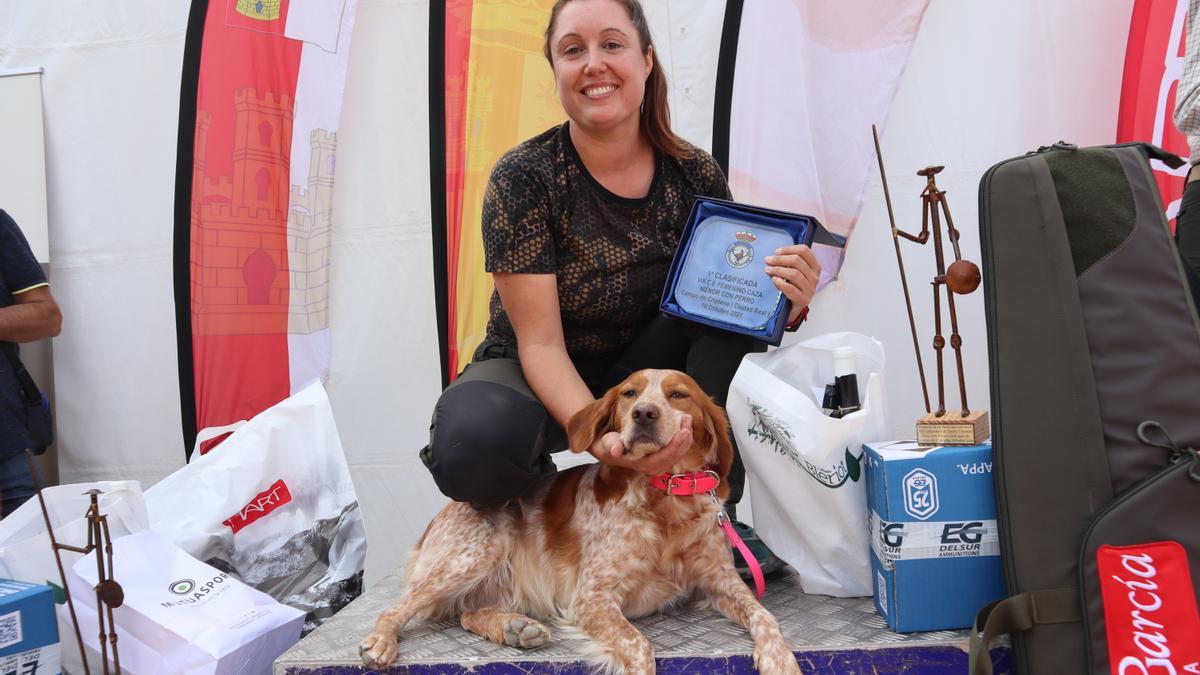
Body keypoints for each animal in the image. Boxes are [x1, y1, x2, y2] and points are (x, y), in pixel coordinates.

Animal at [360, 367, 801, 672]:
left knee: (467, 611)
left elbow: (766, 617)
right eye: (629, 393)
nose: (644, 413)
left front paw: (780, 661)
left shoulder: (721, 580)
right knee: (398, 607)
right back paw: (380, 641)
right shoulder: (591, 598)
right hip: (474, 554)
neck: (664, 503)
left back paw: (514, 628)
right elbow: (641, 646)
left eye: (678, 395)